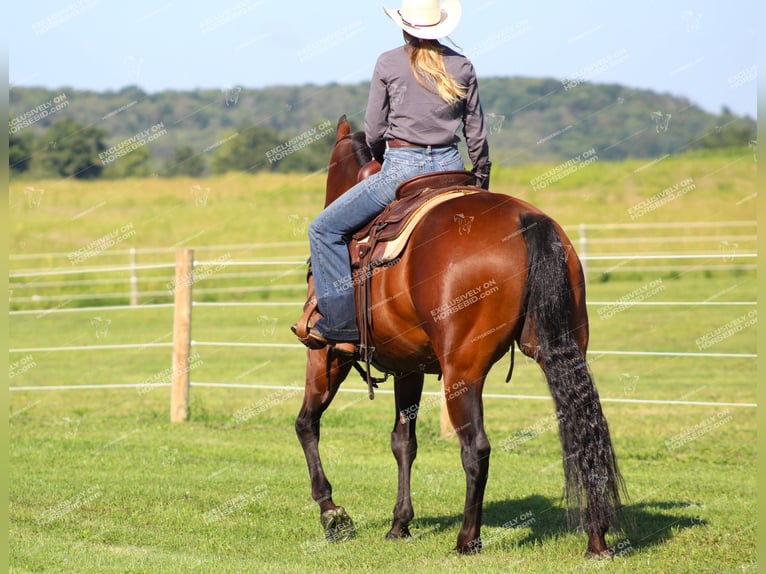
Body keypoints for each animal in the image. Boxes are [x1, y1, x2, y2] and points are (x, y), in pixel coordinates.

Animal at [294, 116, 624, 560]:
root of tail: (527, 221)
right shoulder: (410, 368)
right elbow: (403, 441)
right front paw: (400, 523)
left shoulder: (328, 353)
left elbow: (307, 424)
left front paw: (332, 513)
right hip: (564, 349)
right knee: (581, 431)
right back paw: (596, 539)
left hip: (462, 371)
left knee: (476, 448)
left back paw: (468, 539)